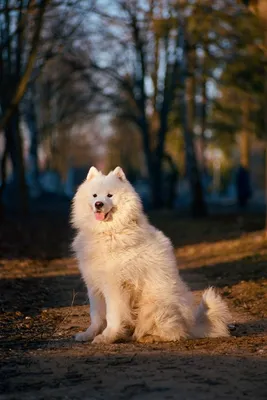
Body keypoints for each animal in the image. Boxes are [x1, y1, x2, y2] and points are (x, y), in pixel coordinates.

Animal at [71, 166, 230, 344]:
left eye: (110, 195)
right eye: (95, 195)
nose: (98, 204)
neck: (108, 232)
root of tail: (191, 325)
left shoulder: (115, 286)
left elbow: (112, 316)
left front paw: (107, 336)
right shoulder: (94, 284)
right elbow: (96, 315)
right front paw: (89, 334)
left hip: (153, 304)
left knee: (175, 333)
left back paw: (148, 337)